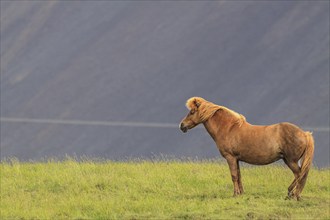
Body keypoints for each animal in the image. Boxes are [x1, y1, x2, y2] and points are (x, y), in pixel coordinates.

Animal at [180, 97, 314, 200]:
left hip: (291, 161)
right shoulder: (237, 159)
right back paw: (292, 193)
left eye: (192, 111)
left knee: (299, 174)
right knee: (300, 175)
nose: (182, 125)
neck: (229, 128)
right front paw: (241, 193)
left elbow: (234, 176)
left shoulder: (230, 158)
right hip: (288, 160)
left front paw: (235, 194)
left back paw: (293, 194)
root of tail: (304, 134)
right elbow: (239, 176)